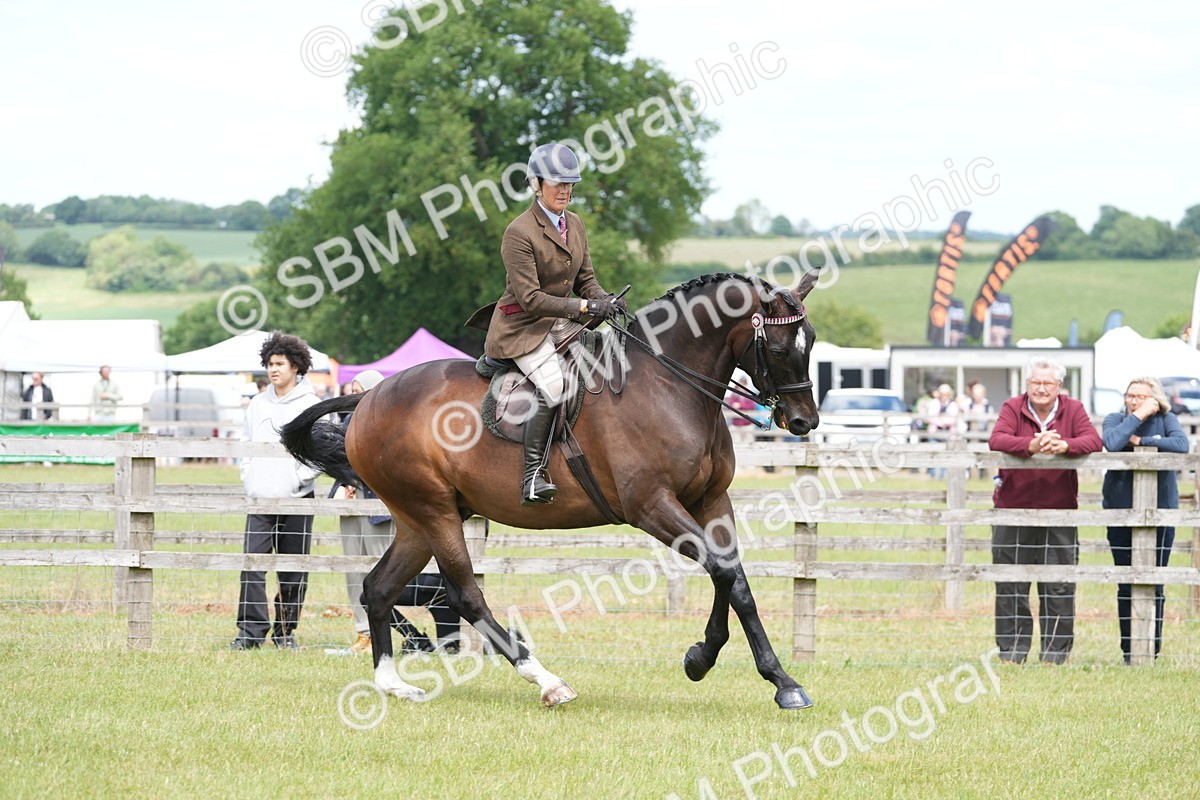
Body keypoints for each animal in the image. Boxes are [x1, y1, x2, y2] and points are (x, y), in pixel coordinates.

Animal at [282, 271, 821, 709]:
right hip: (433, 511)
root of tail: (369, 398)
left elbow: (734, 579)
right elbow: (723, 572)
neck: (668, 385)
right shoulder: (652, 507)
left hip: (417, 519)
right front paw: (741, 670)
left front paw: (748, 671)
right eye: (778, 348)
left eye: (811, 340)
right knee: (464, 596)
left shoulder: (709, 500)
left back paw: (393, 685)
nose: (803, 422)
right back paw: (547, 681)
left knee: (378, 589)